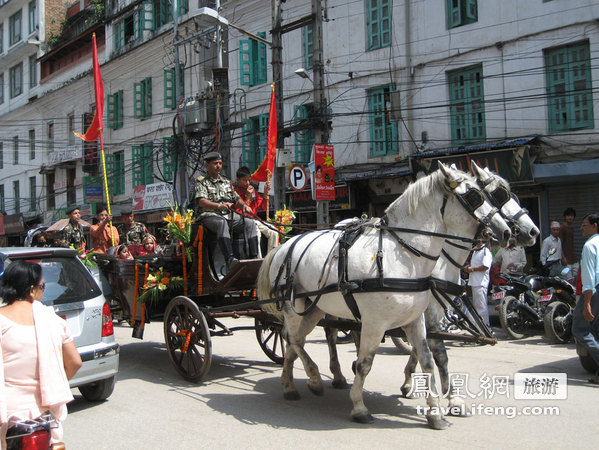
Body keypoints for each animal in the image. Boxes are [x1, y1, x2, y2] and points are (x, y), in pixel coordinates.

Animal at [258, 164, 510, 428]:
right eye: (474, 196)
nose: (507, 232)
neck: (402, 254)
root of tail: (284, 246)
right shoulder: (375, 323)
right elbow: (365, 363)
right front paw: (359, 407)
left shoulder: (415, 320)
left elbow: (428, 360)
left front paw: (435, 412)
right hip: (292, 304)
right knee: (294, 338)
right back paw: (313, 379)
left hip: (314, 307)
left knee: (294, 340)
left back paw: (292, 382)